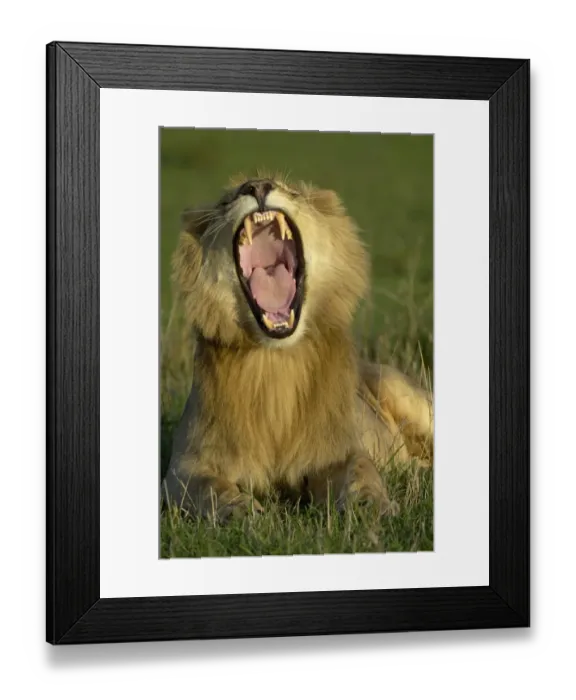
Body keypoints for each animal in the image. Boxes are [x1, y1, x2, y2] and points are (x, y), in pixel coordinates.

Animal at [162, 173, 433, 521]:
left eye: (287, 189)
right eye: (227, 200)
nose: (257, 186)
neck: (276, 362)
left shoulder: (340, 449)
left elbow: (361, 471)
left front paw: (371, 506)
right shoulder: (183, 468)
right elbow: (207, 487)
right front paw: (239, 512)